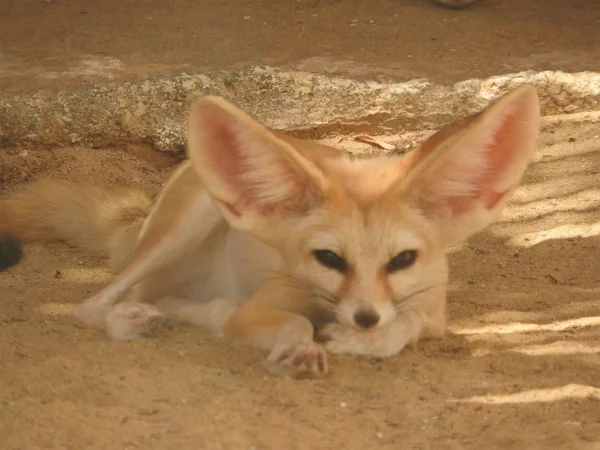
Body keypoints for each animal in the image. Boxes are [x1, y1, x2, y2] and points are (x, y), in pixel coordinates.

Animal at [0, 86, 540, 378]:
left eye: (402, 260)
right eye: (329, 259)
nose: (364, 317)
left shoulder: (431, 313)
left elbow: (402, 326)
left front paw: (358, 341)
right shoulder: (267, 305)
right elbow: (293, 322)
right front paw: (301, 346)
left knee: (181, 305)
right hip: (189, 221)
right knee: (93, 303)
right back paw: (131, 319)